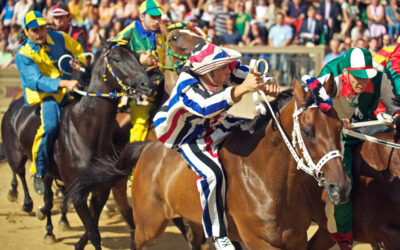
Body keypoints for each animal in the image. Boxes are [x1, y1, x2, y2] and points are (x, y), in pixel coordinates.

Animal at [0, 37, 154, 250]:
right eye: (116, 58)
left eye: (136, 57)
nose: (147, 84)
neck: (86, 131)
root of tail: (13, 107)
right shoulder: (78, 192)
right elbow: (94, 233)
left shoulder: (100, 189)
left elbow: (91, 228)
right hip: (16, 155)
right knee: (20, 172)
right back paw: (24, 200)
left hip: (49, 172)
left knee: (48, 199)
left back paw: (51, 229)